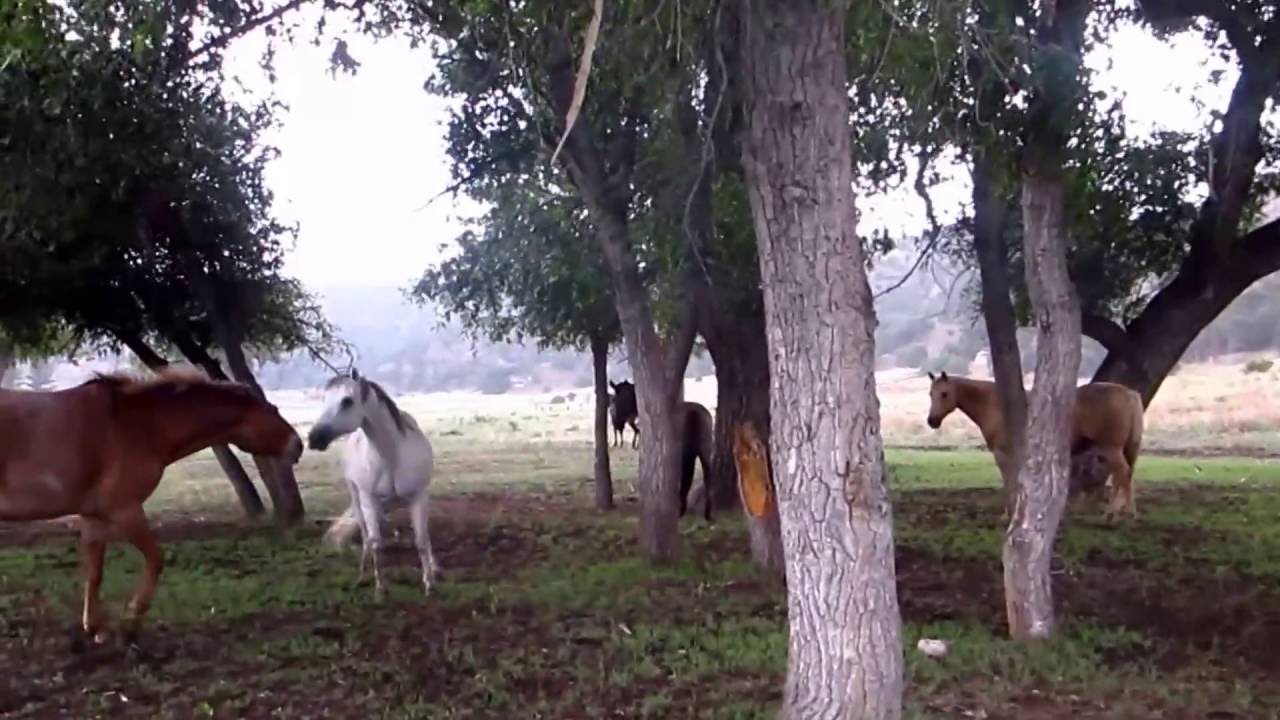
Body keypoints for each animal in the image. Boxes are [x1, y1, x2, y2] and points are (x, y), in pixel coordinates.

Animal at [0, 368, 303, 650]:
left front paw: (95, 628)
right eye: (273, 409)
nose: (298, 446)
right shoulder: (126, 511)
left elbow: (94, 573)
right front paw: (130, 624)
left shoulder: (95, 517)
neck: (137, 423)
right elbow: (156, 560)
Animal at [306, 369, 437, 600]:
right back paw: (363, 572)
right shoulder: (368, 498)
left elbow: (422, 540)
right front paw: (380, 589)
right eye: (324, 399)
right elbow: (375, 542)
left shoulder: (420, 496)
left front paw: (429, 583)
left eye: (347, 401)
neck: (392, 455)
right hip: (357, 498)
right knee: (366, 536)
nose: (314, 438)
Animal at [925, 371, 1145, 520]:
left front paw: (1008, 515)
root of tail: (1129, 393)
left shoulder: (1003, 455)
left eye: (944, 394)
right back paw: (1118, 512)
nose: (932, 421)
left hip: (1110, 448)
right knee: (1123, 475)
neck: (996, 405)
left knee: (1123, 473)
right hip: (1117, 449)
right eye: (930, 393)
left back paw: (1123, 513)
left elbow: (1010, 482)